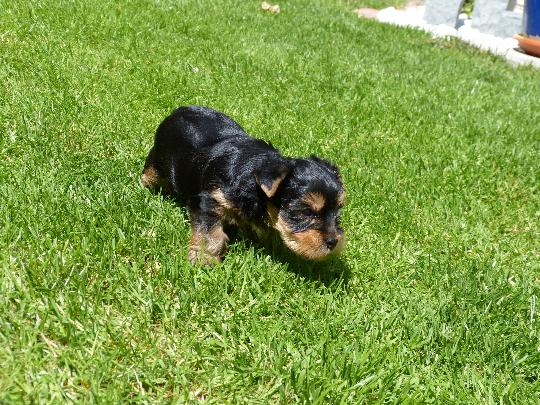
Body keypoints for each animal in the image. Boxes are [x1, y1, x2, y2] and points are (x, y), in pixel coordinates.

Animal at [141, 106, 345, 265]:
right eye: (306, 212)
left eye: (338, 212)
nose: (333, 242)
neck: (252, 182)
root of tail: (179, 110)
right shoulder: (210, 199)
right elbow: (210, 234)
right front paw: (204, 260)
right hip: (158, 159)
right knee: (150, 172)